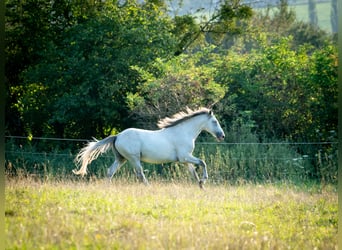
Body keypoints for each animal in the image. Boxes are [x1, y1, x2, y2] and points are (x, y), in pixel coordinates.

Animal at [73, 107, 224, 188]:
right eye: (215, 122)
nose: (222, 136)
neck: (183, 132)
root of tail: (117, 136)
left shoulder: (186, 160)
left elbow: (194, 174)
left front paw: (201, 186)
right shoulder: (185, 157)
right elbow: (203, 163)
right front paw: (204, 180)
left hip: (121, 159)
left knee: (110, 172)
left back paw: (107, 188)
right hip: (133, 159)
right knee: (140, 174)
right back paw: (149, 187)